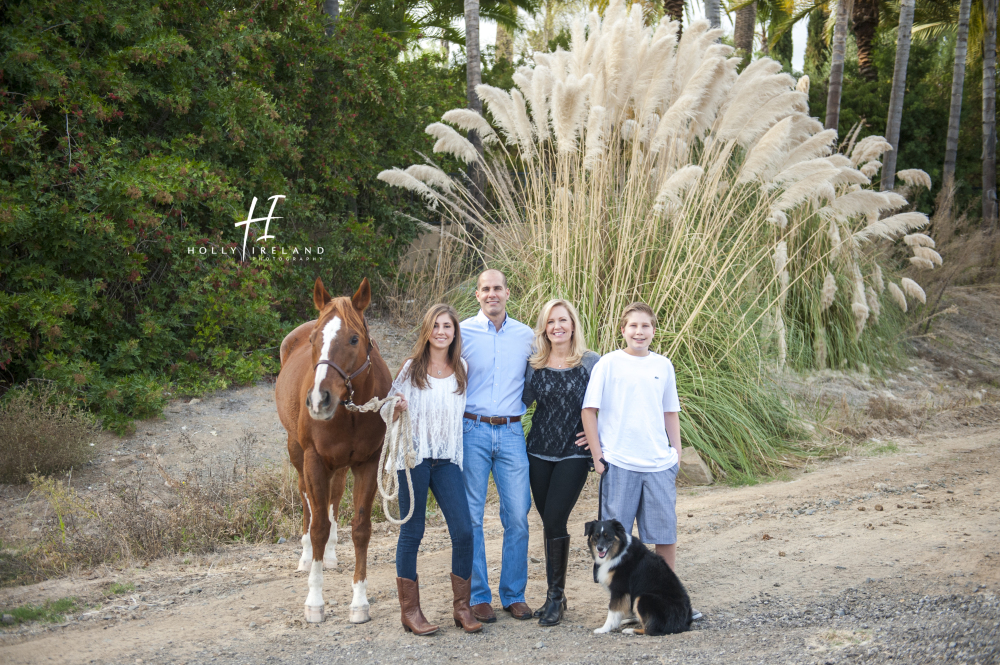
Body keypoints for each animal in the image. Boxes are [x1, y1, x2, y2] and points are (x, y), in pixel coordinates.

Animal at [280, 274, 396, 624]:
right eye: (314, 339)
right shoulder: (315, 461)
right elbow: (318, 526)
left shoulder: (367, 463)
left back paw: (329, 555)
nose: (320, 399)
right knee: (308, 501)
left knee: (332, 498)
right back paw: (307, 556)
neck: (351, 412)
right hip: (297, 453)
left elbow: (360, 529)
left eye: (354, 338)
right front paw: (314, 602)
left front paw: (359, 602)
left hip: (340, 465)